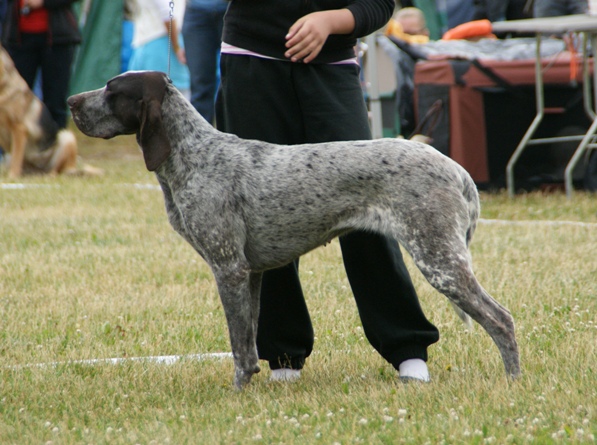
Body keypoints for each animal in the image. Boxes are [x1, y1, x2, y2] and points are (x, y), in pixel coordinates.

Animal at [67, 71, 520, 386]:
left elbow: (237, 346)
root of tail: (455, 167)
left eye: (112, 90)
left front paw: (237, 394)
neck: (193, 155)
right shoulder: (250, 273)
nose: (71, 101)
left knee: (501, 319)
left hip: (438, 259)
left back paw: (512, 381)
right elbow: (249, 344)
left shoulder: (227, 268)